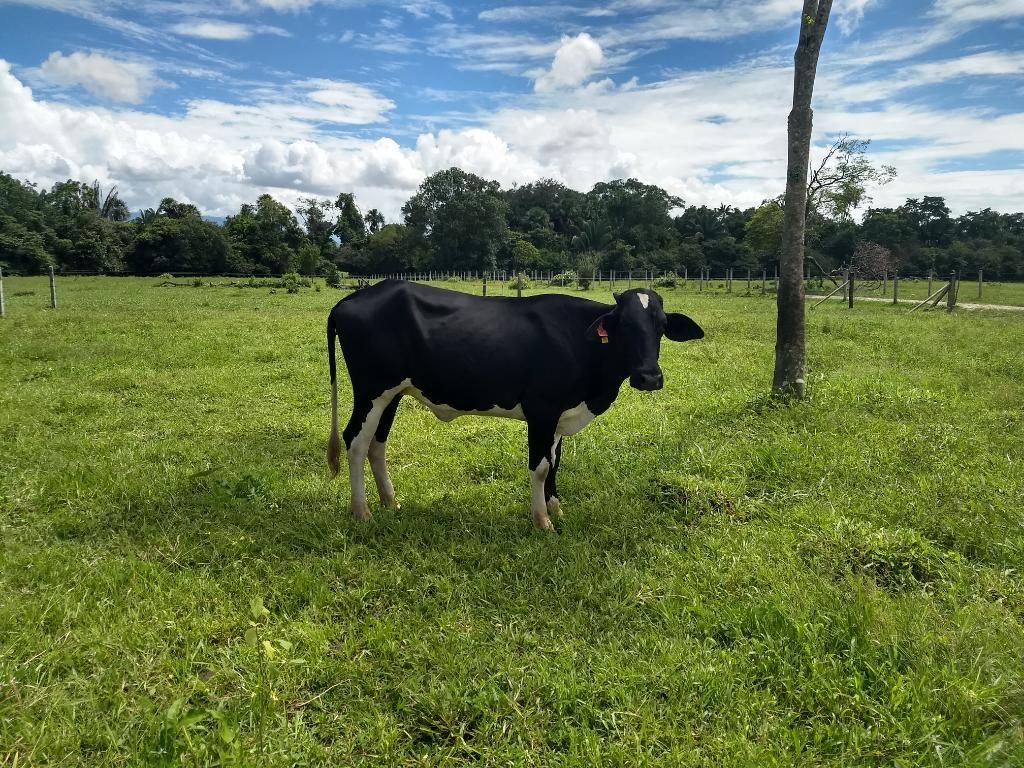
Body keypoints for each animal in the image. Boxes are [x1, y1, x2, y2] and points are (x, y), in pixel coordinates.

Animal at [327, 280, 704, 528]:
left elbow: (555, 462)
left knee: (377, 444)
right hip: (371, 390)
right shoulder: (541, 409)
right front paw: (541, 520)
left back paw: (391, 502)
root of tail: (355, 296)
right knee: (355, 441)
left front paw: (556, 509)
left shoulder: (559, 414)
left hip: (392, 393)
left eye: (662, 325)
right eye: (623, 325)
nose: (649, 377)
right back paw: (361, 512)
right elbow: (540, 467)